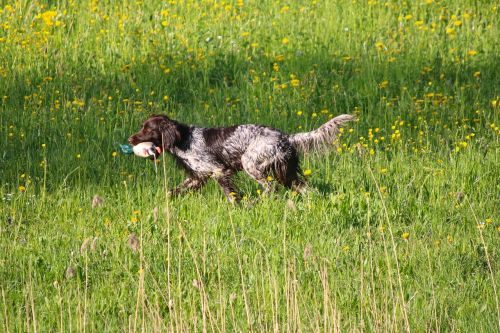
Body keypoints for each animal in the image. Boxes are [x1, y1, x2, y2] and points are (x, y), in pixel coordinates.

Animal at [129, 113, 356, 201]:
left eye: (147, 129)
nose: (131, 139)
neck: (183, 139)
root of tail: (286, 137)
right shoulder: (197, 177)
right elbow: (174, 190)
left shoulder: (219, 170)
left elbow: (231, 195)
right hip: (287, 173)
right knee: (305, 188)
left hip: (251, 164)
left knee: (270, 187)